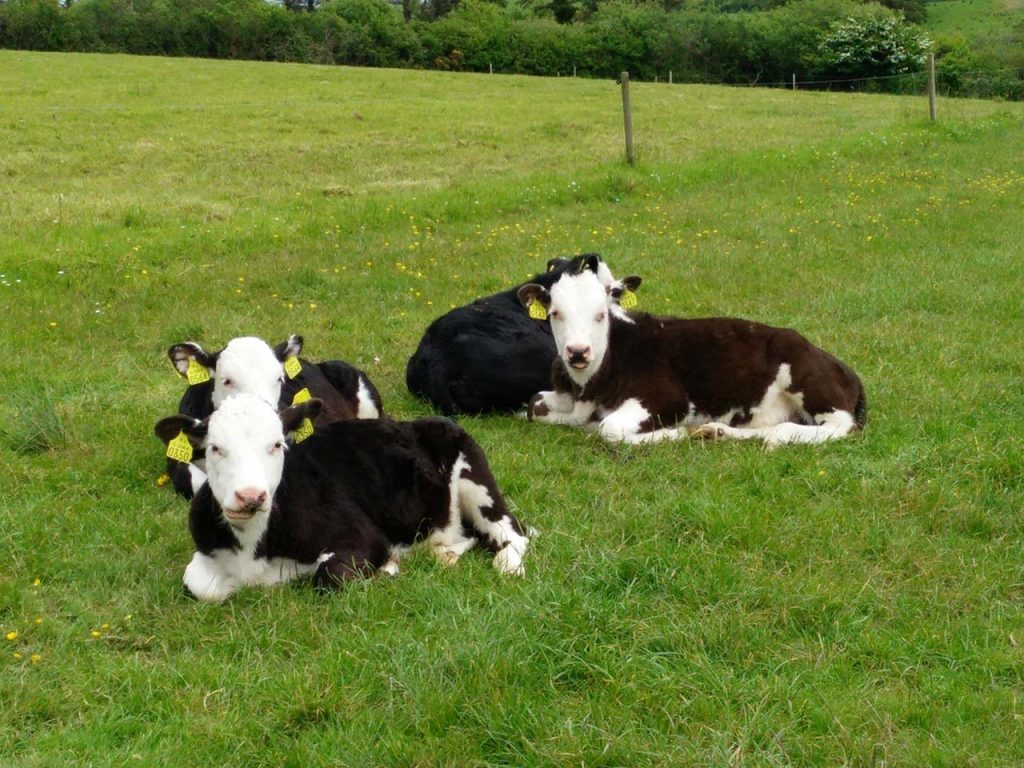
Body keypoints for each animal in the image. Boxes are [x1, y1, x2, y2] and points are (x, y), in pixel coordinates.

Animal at [154, 394, 530, 603]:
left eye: (276, 444)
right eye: (215, 448)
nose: (251, 495)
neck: (253, 548)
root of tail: (411, 422)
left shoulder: (362, 535)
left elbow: (330, 576)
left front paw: (388, 567)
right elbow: (199, 585)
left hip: (475, 478)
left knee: (512, 531)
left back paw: (507, 565)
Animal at [517, 256, 866, 447]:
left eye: (601, 314)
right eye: (555, 313)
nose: (578, 352)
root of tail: (837, 363)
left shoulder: (669, 398)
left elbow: (609, 428)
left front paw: (673, 435)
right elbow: (534, 403)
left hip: (809, 382)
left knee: (841, 426)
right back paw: (717, 432)